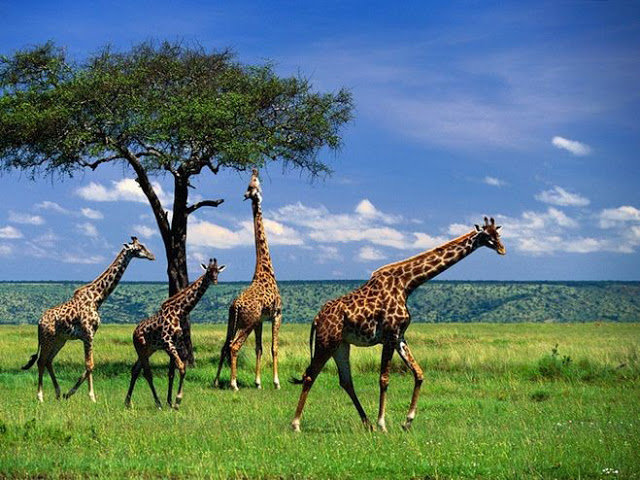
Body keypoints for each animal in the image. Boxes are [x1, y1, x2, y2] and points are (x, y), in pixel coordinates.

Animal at [22, 237, 155, 402]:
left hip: (60, 340)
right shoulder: (88, 334)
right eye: (139, 247)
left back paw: (58, 393)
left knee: (48, 361)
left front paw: (69, 393)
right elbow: (89, 364)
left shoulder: (90, 335)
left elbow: (90, 365)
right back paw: (40, 396)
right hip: (48, 338)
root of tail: (39, 322)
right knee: (41, 361)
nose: (152, 256)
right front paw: (91, 396)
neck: (97, 298)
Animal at [125, 258, 226, 409]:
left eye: (217, 271)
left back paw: (127, 402)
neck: (180, 311)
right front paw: (177, 401)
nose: (214, 280)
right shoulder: (167, 341)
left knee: (135, 369)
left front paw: (170, 401)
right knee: (147, 373)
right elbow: (182, 367)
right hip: (141, 348)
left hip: (149, 349)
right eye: (208, 271)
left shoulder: (177, 343)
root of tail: (134, 332)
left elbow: (172, 372)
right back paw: (157, 403)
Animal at [213, 168, 282, 391]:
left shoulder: (260, 320)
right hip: (246, 323)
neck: (266, 270)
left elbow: (259, 348)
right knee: (234, 346)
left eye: (252, 185)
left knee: (225, 345)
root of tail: (235, 305)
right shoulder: (277, 314)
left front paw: (258, 382)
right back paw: (233, 383)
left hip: (233, 321)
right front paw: (276, 382)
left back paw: (217, 381)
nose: (247, 194)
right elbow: (273, 347)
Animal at [291, 217, 506, 432]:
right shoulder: (389, 334)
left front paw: (407, 421)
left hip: (341, 345)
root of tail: (316, 319)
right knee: (310, 375)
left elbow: (418, 373)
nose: (502, 249)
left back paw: (367, 423)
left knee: (345, 380)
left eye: (498, 234)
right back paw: (296, 424)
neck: (407, 284)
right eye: (487, 235)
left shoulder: (399, 336)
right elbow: (384, 379)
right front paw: (383, 424)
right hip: (326, 342)